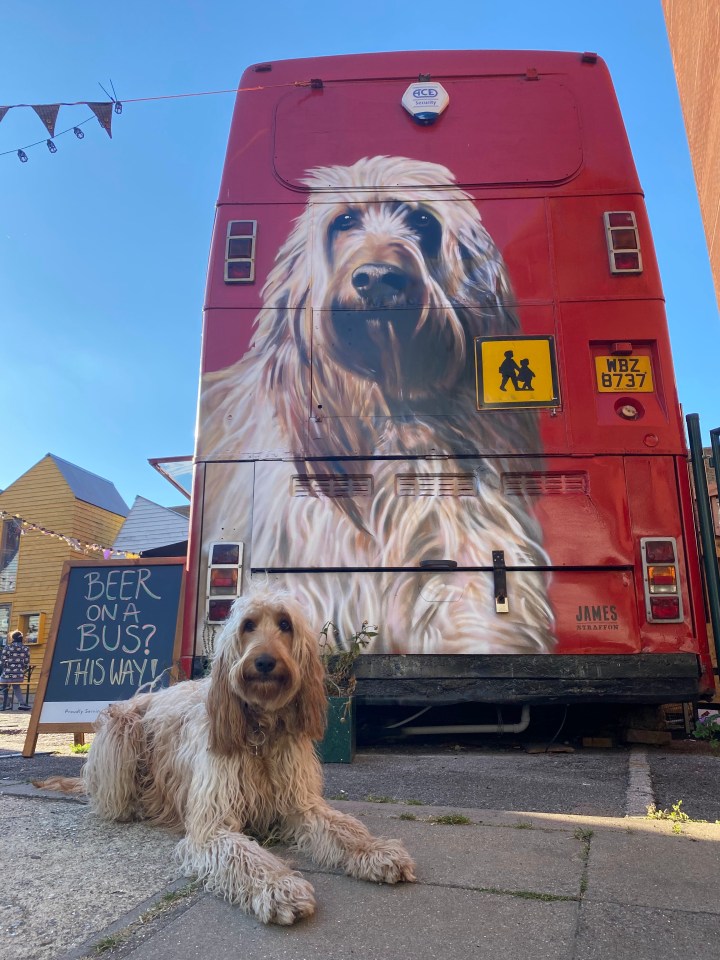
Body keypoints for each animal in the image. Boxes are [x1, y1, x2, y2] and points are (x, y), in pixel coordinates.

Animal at [40, 588, 416, 928]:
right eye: (248, 625)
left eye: (285, 624)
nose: (264, 662)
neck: (260, 729)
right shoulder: (213, 823)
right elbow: (245, 854)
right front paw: (279, 886)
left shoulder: (300, 804)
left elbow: (344, 829)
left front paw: (375, 850)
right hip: (122, 729)